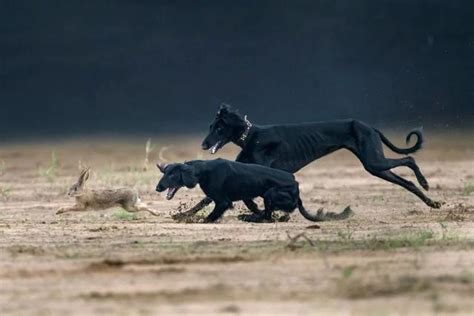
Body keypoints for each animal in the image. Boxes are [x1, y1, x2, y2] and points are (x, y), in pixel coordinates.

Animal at [156, 158, 352, 222]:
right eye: (164, 173)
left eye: (172, 175)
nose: (158, 187)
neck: (203, 170)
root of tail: (296, 186)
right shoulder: (239, 197)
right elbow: (199, 205)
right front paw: (181, 215)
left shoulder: (223, 201)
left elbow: (210, 216)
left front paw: (198, 221)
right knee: (267, 214)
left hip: (270, 193)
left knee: (268, 216)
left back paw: (250, 218)